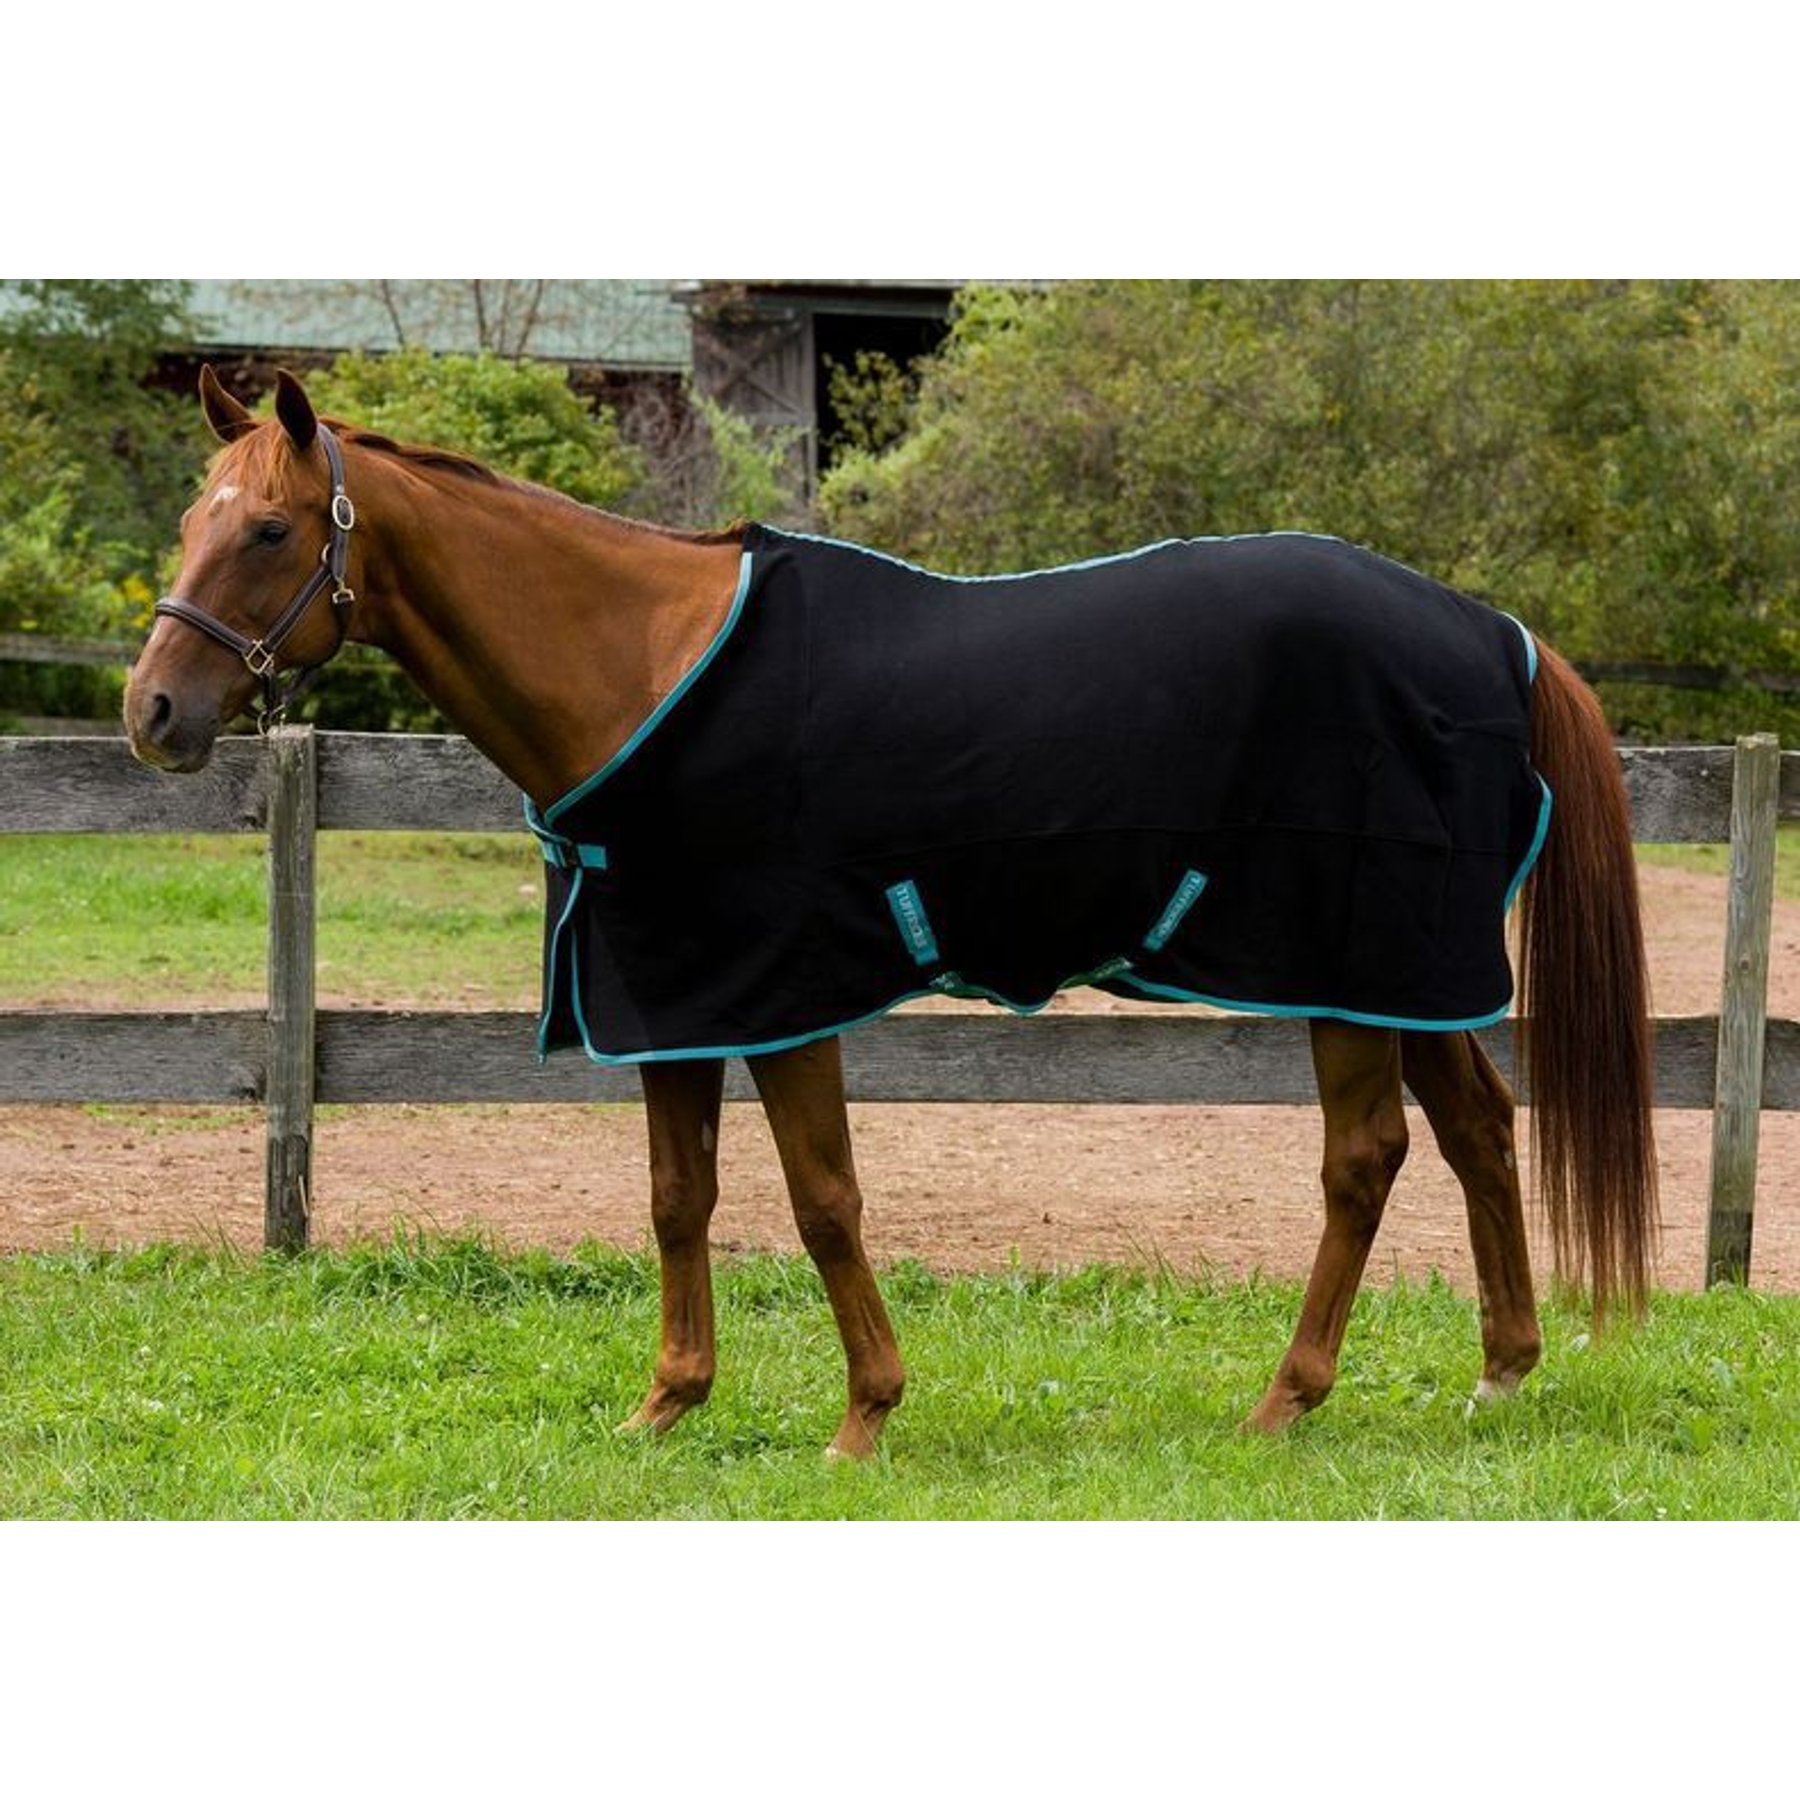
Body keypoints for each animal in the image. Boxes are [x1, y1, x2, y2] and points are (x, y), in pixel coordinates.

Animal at [123, 366, 1659, 1459]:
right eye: (190, 522)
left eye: (269, 530)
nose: (153, 715)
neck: (642, 667)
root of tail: (1492, 629)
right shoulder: (671, 994)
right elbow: (679, 1199)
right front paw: (668, 1405)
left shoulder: (783, 991)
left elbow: (823, 1200)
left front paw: (864, 1415)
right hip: (1407, 970)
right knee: (1477, 1132)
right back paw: (1499, 1378)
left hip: (1347, 957)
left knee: (1366, 1158)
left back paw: (1288, 1398)